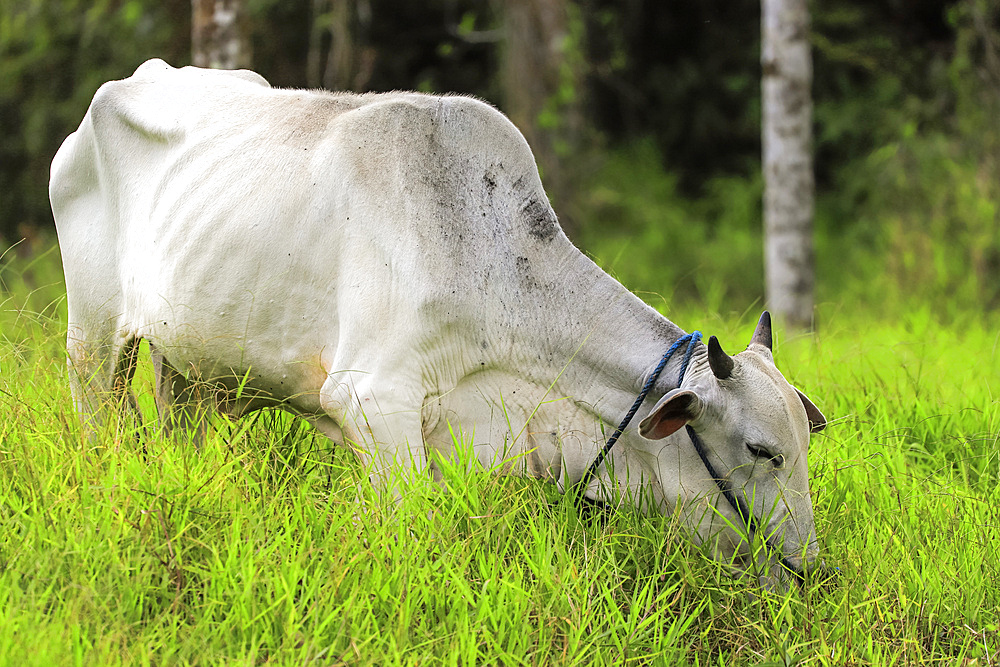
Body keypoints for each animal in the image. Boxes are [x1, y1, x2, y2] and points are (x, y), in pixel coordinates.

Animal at [50, 61, 824, 584]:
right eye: (762, 451)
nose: (811, 569)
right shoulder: (371, 403)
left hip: (188, 367)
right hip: (94, 338)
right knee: (97, 422)